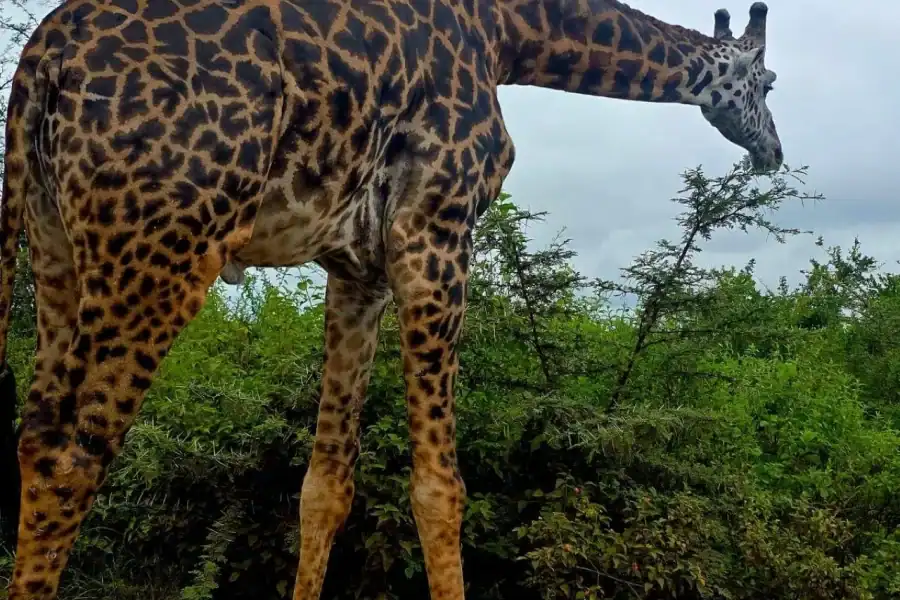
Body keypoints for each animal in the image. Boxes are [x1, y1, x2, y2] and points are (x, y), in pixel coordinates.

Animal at [0, 0, 782, 598]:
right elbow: (440, 490)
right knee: (72, 455)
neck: (510, 33)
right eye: (770, 84)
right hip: (162, 245)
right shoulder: (435, 232)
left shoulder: (358, 271)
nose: (773, 151)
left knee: (35, 437)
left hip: (54, 247)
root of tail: (44, 57)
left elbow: (326, 485)